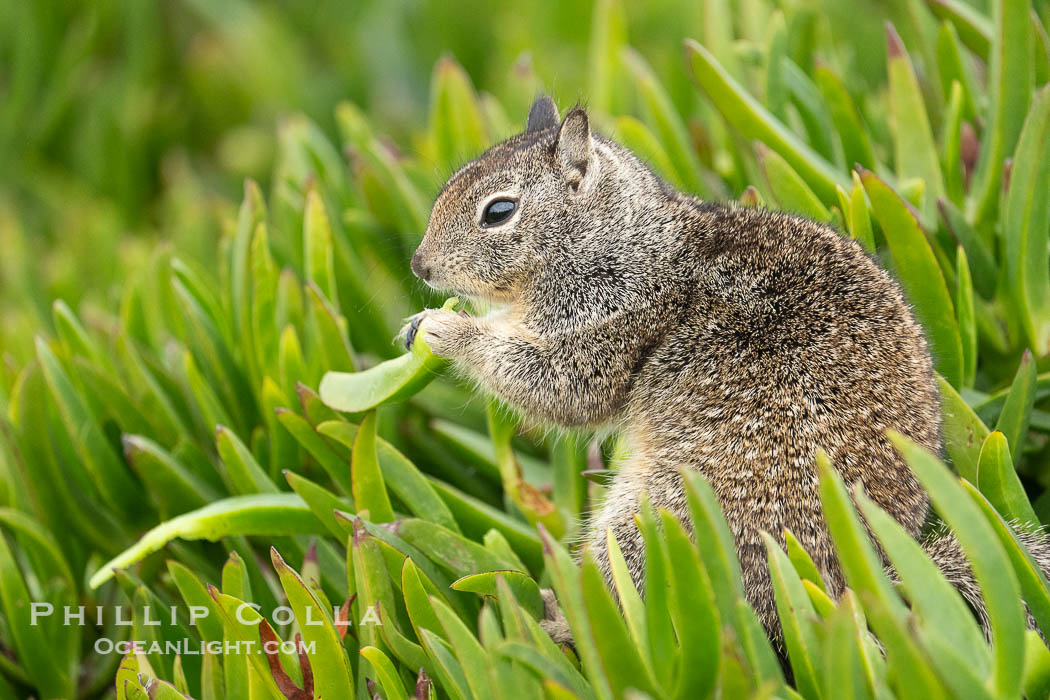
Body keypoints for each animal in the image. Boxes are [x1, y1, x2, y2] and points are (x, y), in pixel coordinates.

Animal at [407, 96, 1050, 642]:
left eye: (499, 211)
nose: (419, 265)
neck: (623, 239)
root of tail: (860, 591)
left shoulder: (612, 318)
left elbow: (558, 387)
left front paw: (447, 331)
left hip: (659, 520)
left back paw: (561, 620)